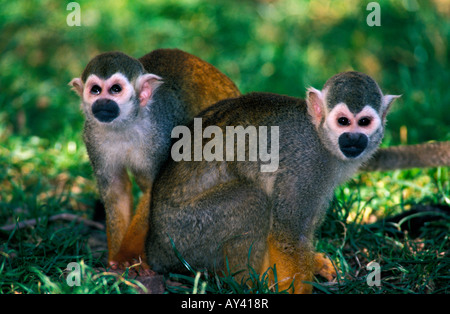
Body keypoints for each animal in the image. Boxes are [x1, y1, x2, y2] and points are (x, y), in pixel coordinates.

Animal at [69, 48, 241, 270]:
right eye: (96, 90)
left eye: (115, 89)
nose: (102, 102)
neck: (126, 124)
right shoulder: (92, 137)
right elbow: (116, 190)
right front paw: (115, 259)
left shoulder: (161, 132)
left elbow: (154, 189)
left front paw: (128, 255)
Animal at [146, 72, 400, 294]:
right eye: (343, 121)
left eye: (364, 122)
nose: (354, 138)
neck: (321, 138)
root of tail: (154, 246)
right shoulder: (307, 166)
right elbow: (287, 235)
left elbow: (301, 234)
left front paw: (313, 262)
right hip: (183, 233)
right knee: (254, 200)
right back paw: (249, 283)